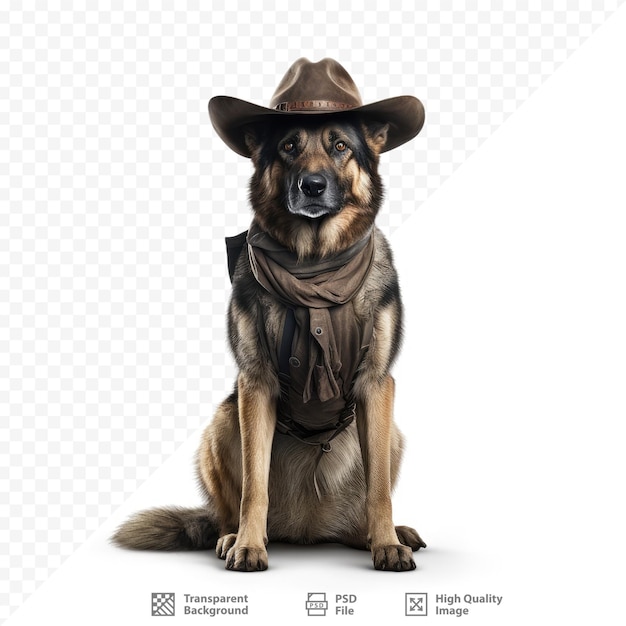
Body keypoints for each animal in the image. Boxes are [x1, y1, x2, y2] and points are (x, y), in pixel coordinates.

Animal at [111, 59, 424, 572]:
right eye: (289, 147)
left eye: (340, 146)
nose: (312, 186)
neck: (315, 264)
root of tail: (309, 531)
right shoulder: (254, 384)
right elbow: (254, 487)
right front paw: (248, 546)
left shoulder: (377, 385)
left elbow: (378, 489)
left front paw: (385, 544)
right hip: (222, 422)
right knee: (227, 507)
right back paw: (231, 536)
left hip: (392, 432)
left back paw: (381, 534)